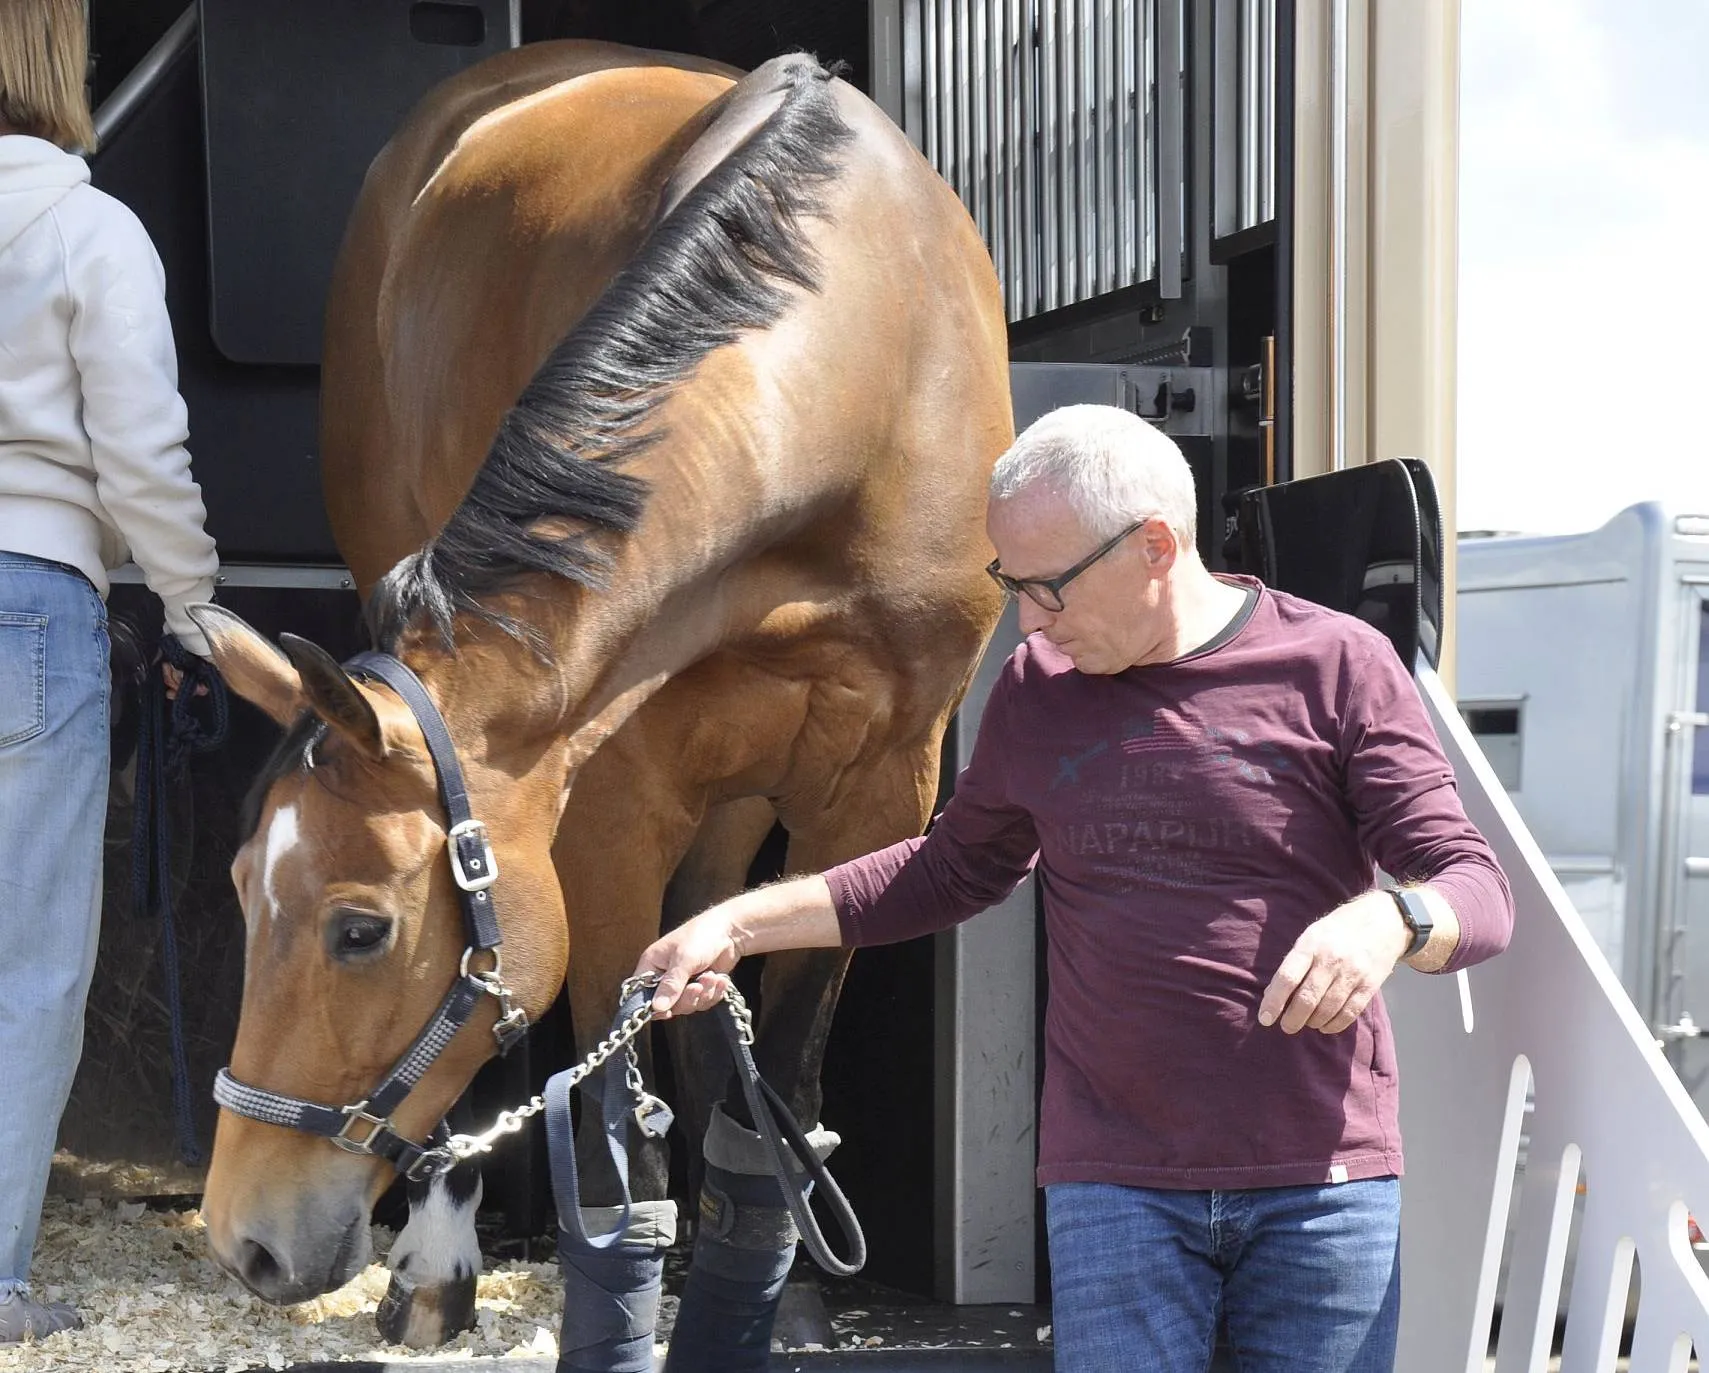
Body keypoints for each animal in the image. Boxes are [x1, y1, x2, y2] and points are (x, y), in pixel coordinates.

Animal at [190, 39, 1011, 1367]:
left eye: (358, 928)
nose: (244, 1235)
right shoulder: (609, 805)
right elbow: (610, 1124)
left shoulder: (882, 785)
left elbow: (772, 1077)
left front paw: (769, 1292)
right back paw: (437, 1262)